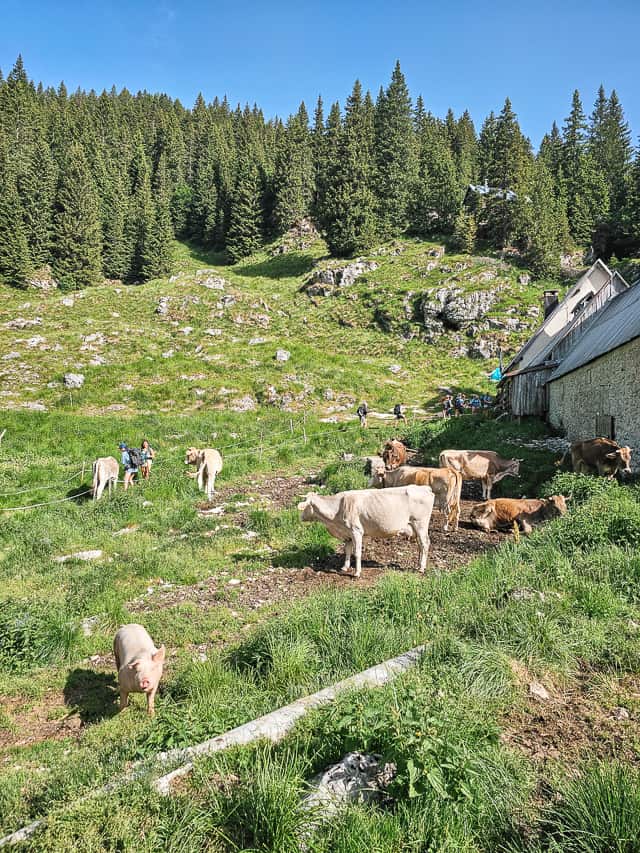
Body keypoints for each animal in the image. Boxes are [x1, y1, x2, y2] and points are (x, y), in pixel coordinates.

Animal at [298, 485, 435, 577]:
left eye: (305, 506)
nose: (301, 517)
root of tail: (424, 488)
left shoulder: (356, 531)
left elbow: (357, 552)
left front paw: (357, 573)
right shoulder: (347, 533)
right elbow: (347, 550)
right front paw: (345, 567)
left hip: (420, 523)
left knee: (425, 543)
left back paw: (421, 568)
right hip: (415, 527)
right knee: (420, 545)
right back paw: (418, 565)